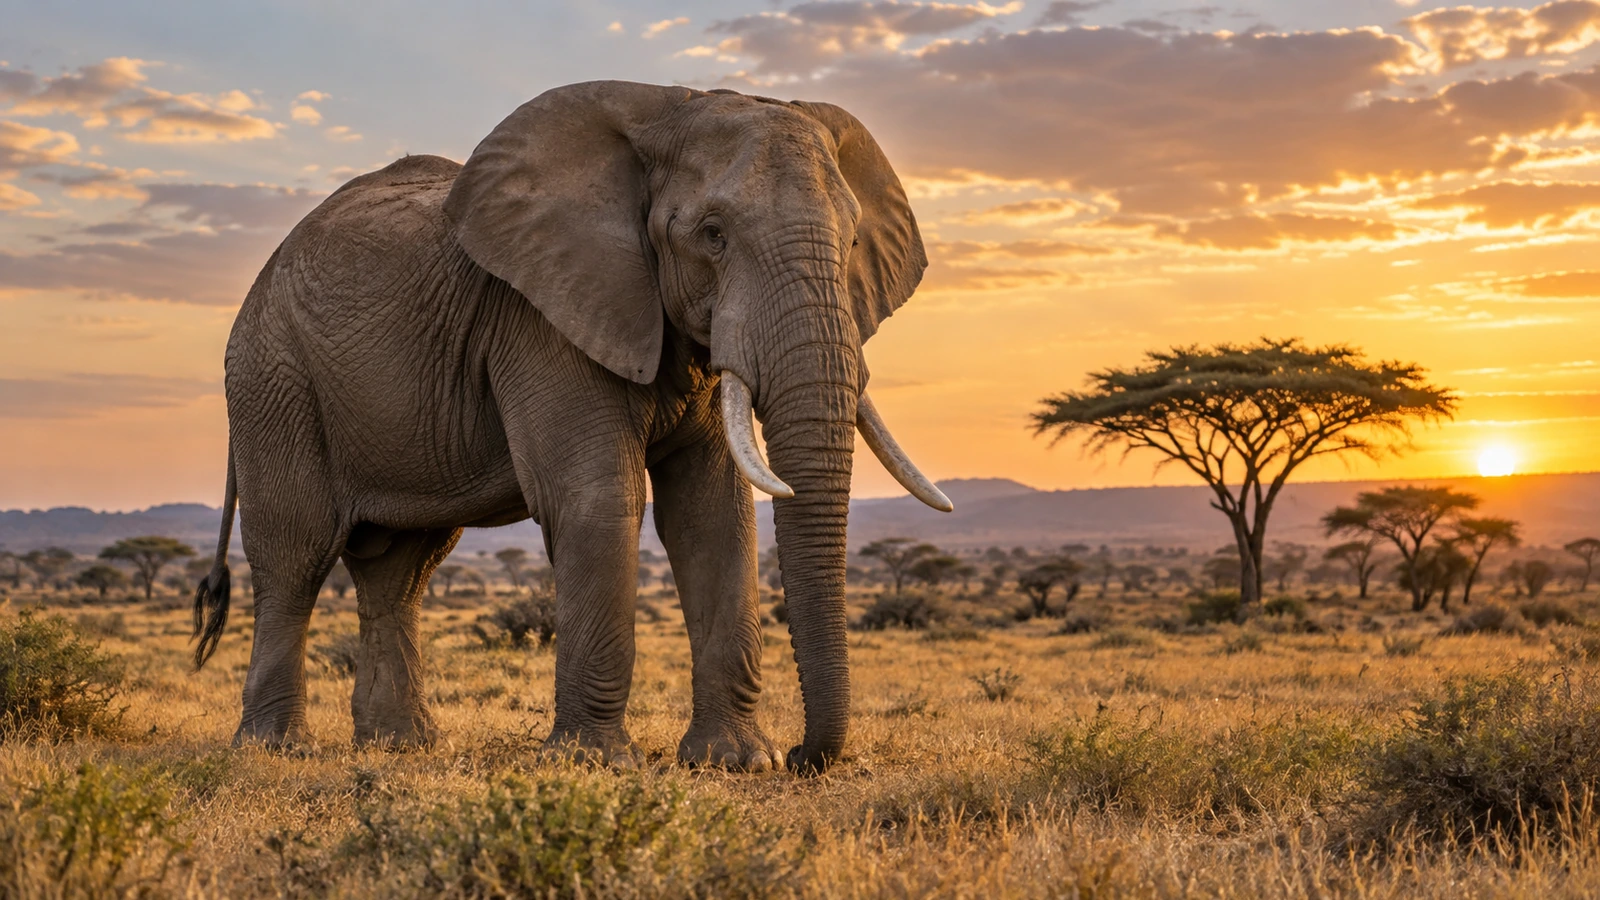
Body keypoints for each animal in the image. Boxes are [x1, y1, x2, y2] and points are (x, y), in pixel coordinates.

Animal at [189, 80, 951, 775]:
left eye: (852, 239)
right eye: (712, 235)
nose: (802, 757)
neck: (668, 110)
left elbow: (712, 511)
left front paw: (735, 762)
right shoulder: (540, 316)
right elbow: (597, 498)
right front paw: (597, 764)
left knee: (400, 568)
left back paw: (403, 747)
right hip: (271, 376)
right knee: (295, 552)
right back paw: (276, 749)